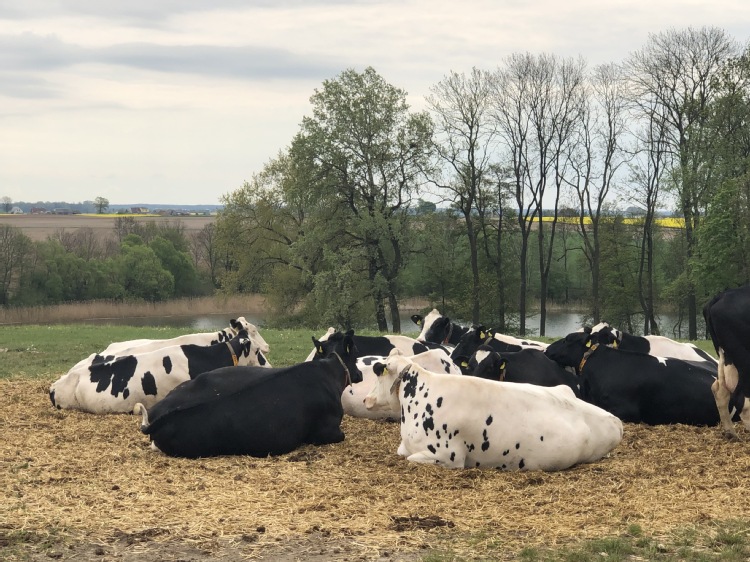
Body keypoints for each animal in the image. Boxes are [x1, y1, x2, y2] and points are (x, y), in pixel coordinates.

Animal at [704, 284, 750, 438]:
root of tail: (721, 296)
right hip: (744, 357)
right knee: (742, 399)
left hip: (727, 356)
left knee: (720, 391)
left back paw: (731, 433)